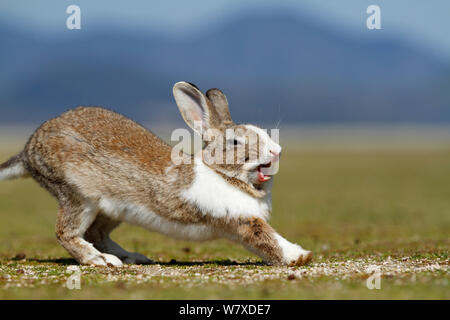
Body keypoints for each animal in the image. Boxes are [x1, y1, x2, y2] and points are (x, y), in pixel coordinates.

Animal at [0, 81, 312, 266]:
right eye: (235, 142)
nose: (276, 151)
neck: (225, 176)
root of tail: (28, 151)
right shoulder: (242, 221)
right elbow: (269, 240)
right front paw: (301, 257)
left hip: (112, 209)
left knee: (96, 232)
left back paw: (132, 257)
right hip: (79, 196)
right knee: (67, 233)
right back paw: (101, 261)